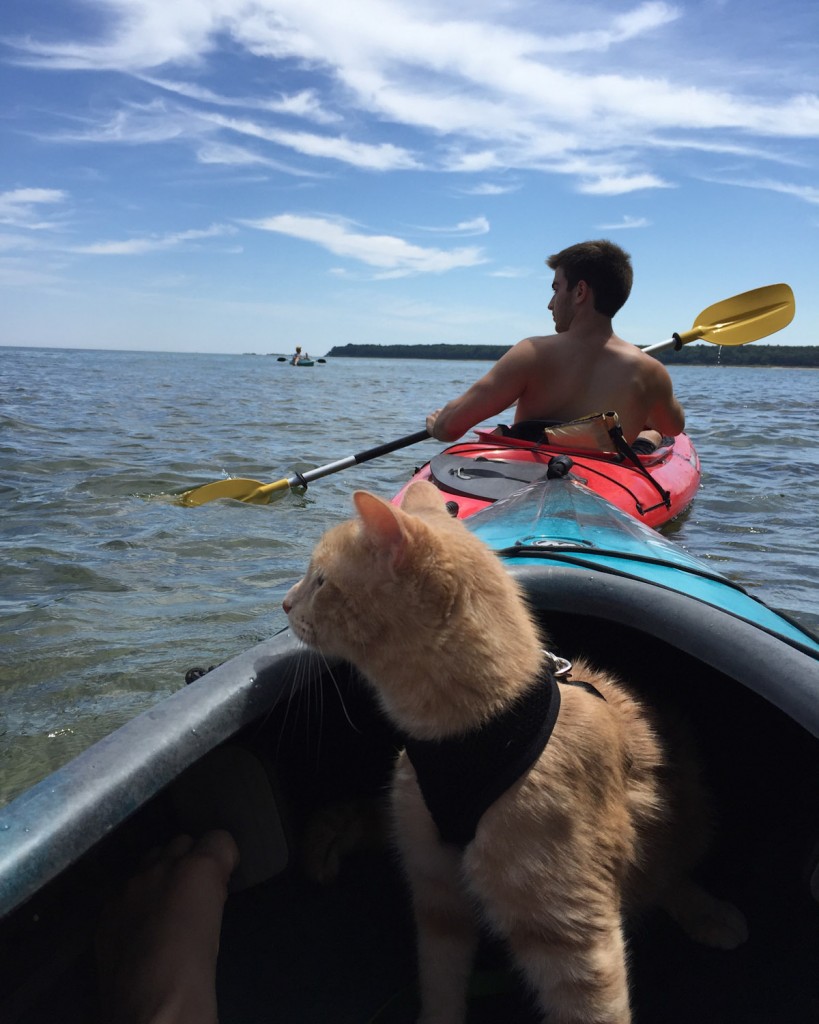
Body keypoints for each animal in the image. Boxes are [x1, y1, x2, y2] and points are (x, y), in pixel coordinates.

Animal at [282, 481, 749, 1024]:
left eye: (320, 582)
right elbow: (440, 985)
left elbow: (597, 1011)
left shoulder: (573, 936)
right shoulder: (437, 898)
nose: (285, 604)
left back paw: (710, 913)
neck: (474, 733)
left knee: (669, 873)